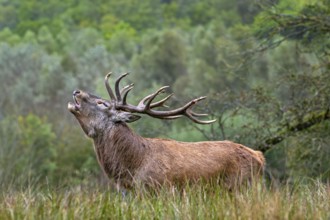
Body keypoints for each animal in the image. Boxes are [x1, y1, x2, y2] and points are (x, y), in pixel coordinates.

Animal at [67, 73, 266, 190]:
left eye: (102, 103)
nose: (77, 91)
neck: (133, 168)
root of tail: (259, 157)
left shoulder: (158, 189)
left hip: (241, 186)